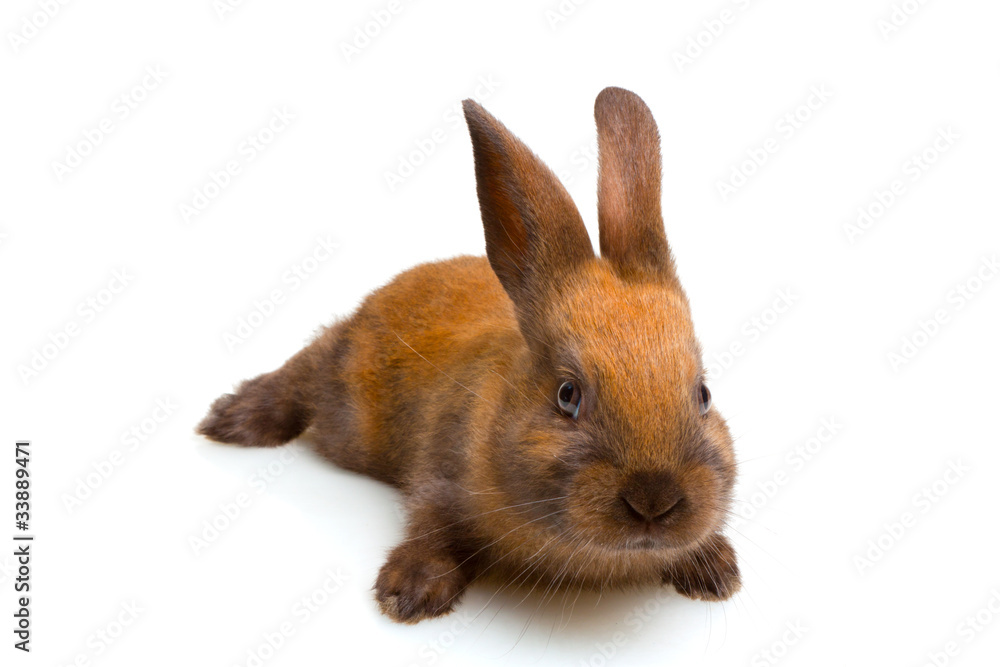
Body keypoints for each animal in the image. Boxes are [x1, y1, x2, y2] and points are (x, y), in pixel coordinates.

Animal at [197, 86, 740, 624]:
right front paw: (410, 592)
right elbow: (431, 525)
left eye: (704, 394)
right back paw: (232, 419)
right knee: (307, 365)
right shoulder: (438, 476)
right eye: (567, 395)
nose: (655, 501)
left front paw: (716, 571)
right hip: (343, 406)